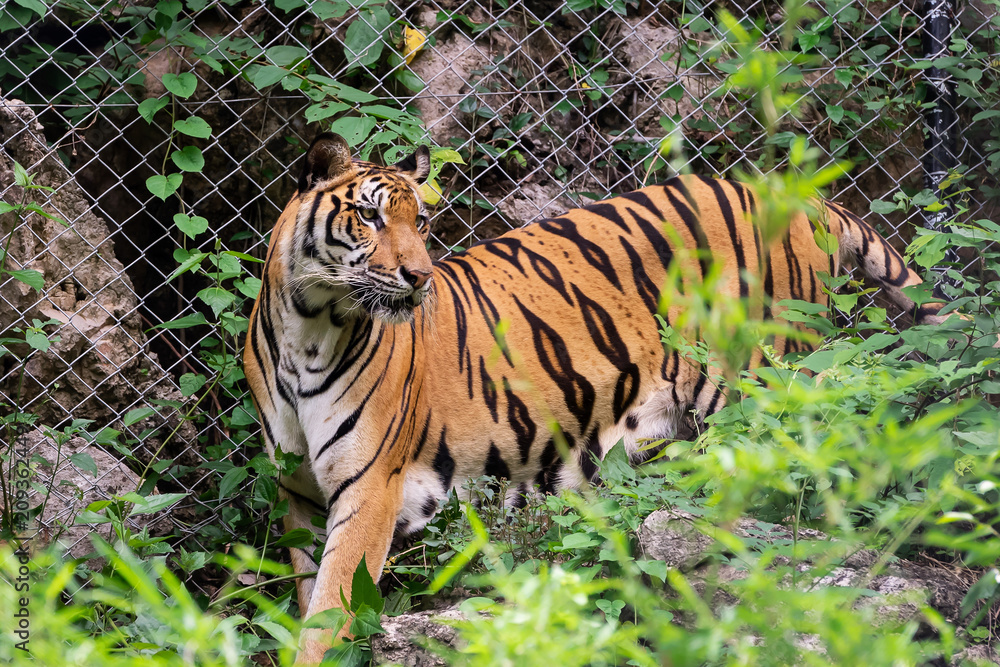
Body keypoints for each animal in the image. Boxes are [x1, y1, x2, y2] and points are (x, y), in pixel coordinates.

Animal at [243, 132, 955, 662]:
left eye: (418, 220)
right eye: (368, 216)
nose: (418, 277)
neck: (310, 328)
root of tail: (799, 199)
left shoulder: (369, 488)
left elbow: (328, 615)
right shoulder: (301, 492)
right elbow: (306, 598)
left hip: (769, 390)